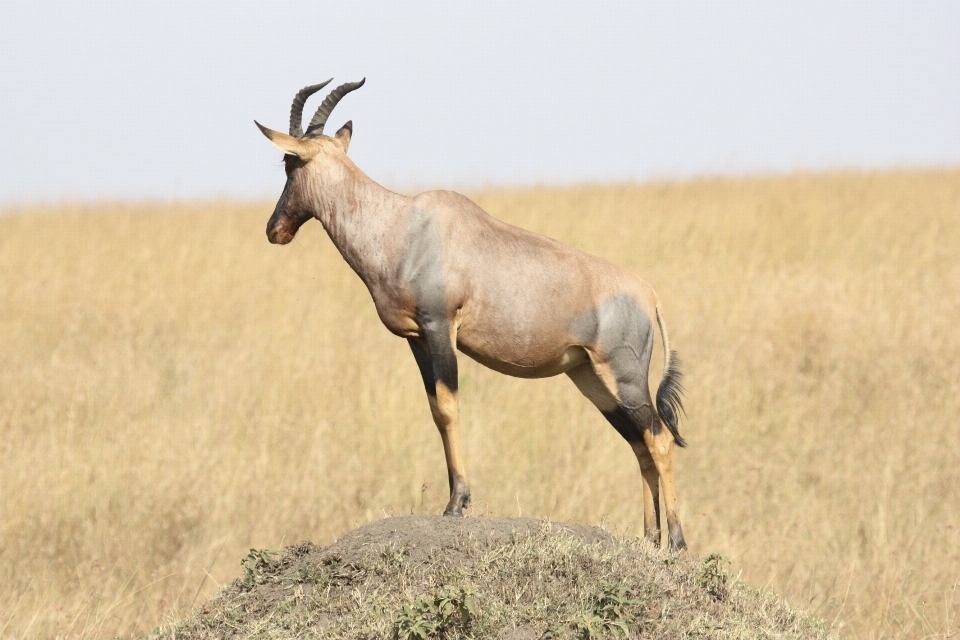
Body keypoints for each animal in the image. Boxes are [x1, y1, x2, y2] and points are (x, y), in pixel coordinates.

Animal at [255, 79, 688, 552]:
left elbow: (449, 407)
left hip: (625, 376)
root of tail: (649, 295)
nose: (274, 230)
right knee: (639, 443)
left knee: (659, 440)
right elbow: (434, 410)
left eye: (288, 162)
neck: (402, 225)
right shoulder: (416, 339)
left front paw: (457, 503)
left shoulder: (440, 326)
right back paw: (649, 540)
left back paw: (677, 543)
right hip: (591, 377)